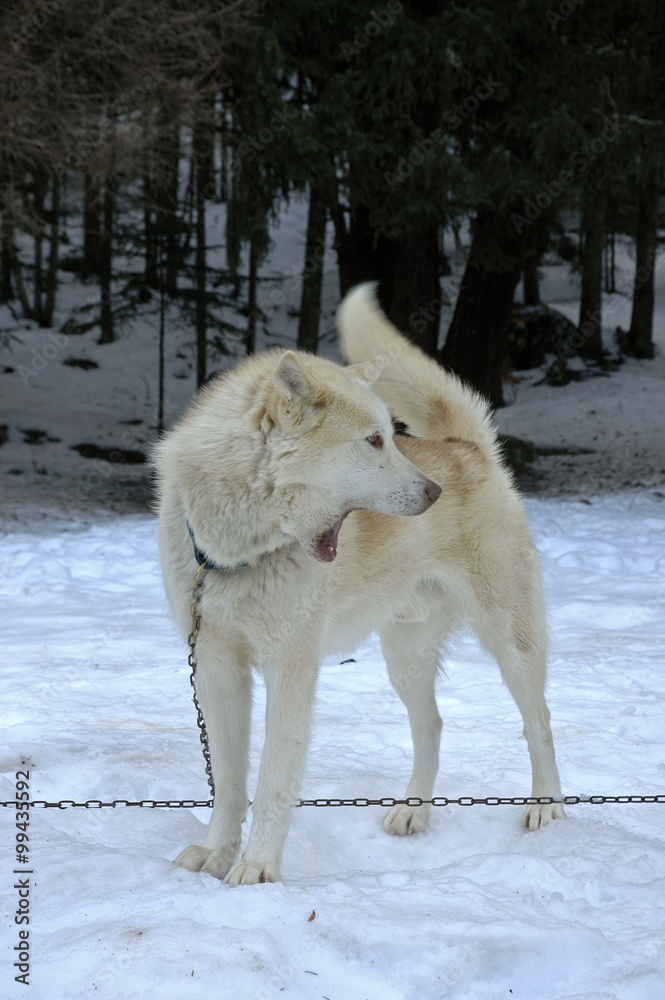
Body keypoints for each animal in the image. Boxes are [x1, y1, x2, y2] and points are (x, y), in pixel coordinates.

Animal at [153, 286, 564, 888]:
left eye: (393, 438)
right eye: (373, 441)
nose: (434, 492)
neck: (237, 549)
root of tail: (466, 450)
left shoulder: (290, 669)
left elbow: (271, 782)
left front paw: (257, 868)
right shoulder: (215, 665)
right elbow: (228, 785)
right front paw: (215, 855)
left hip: (510, 644)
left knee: (540, 723)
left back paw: (546, 808)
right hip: (405, 658)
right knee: (432, 726)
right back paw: (413, 812)